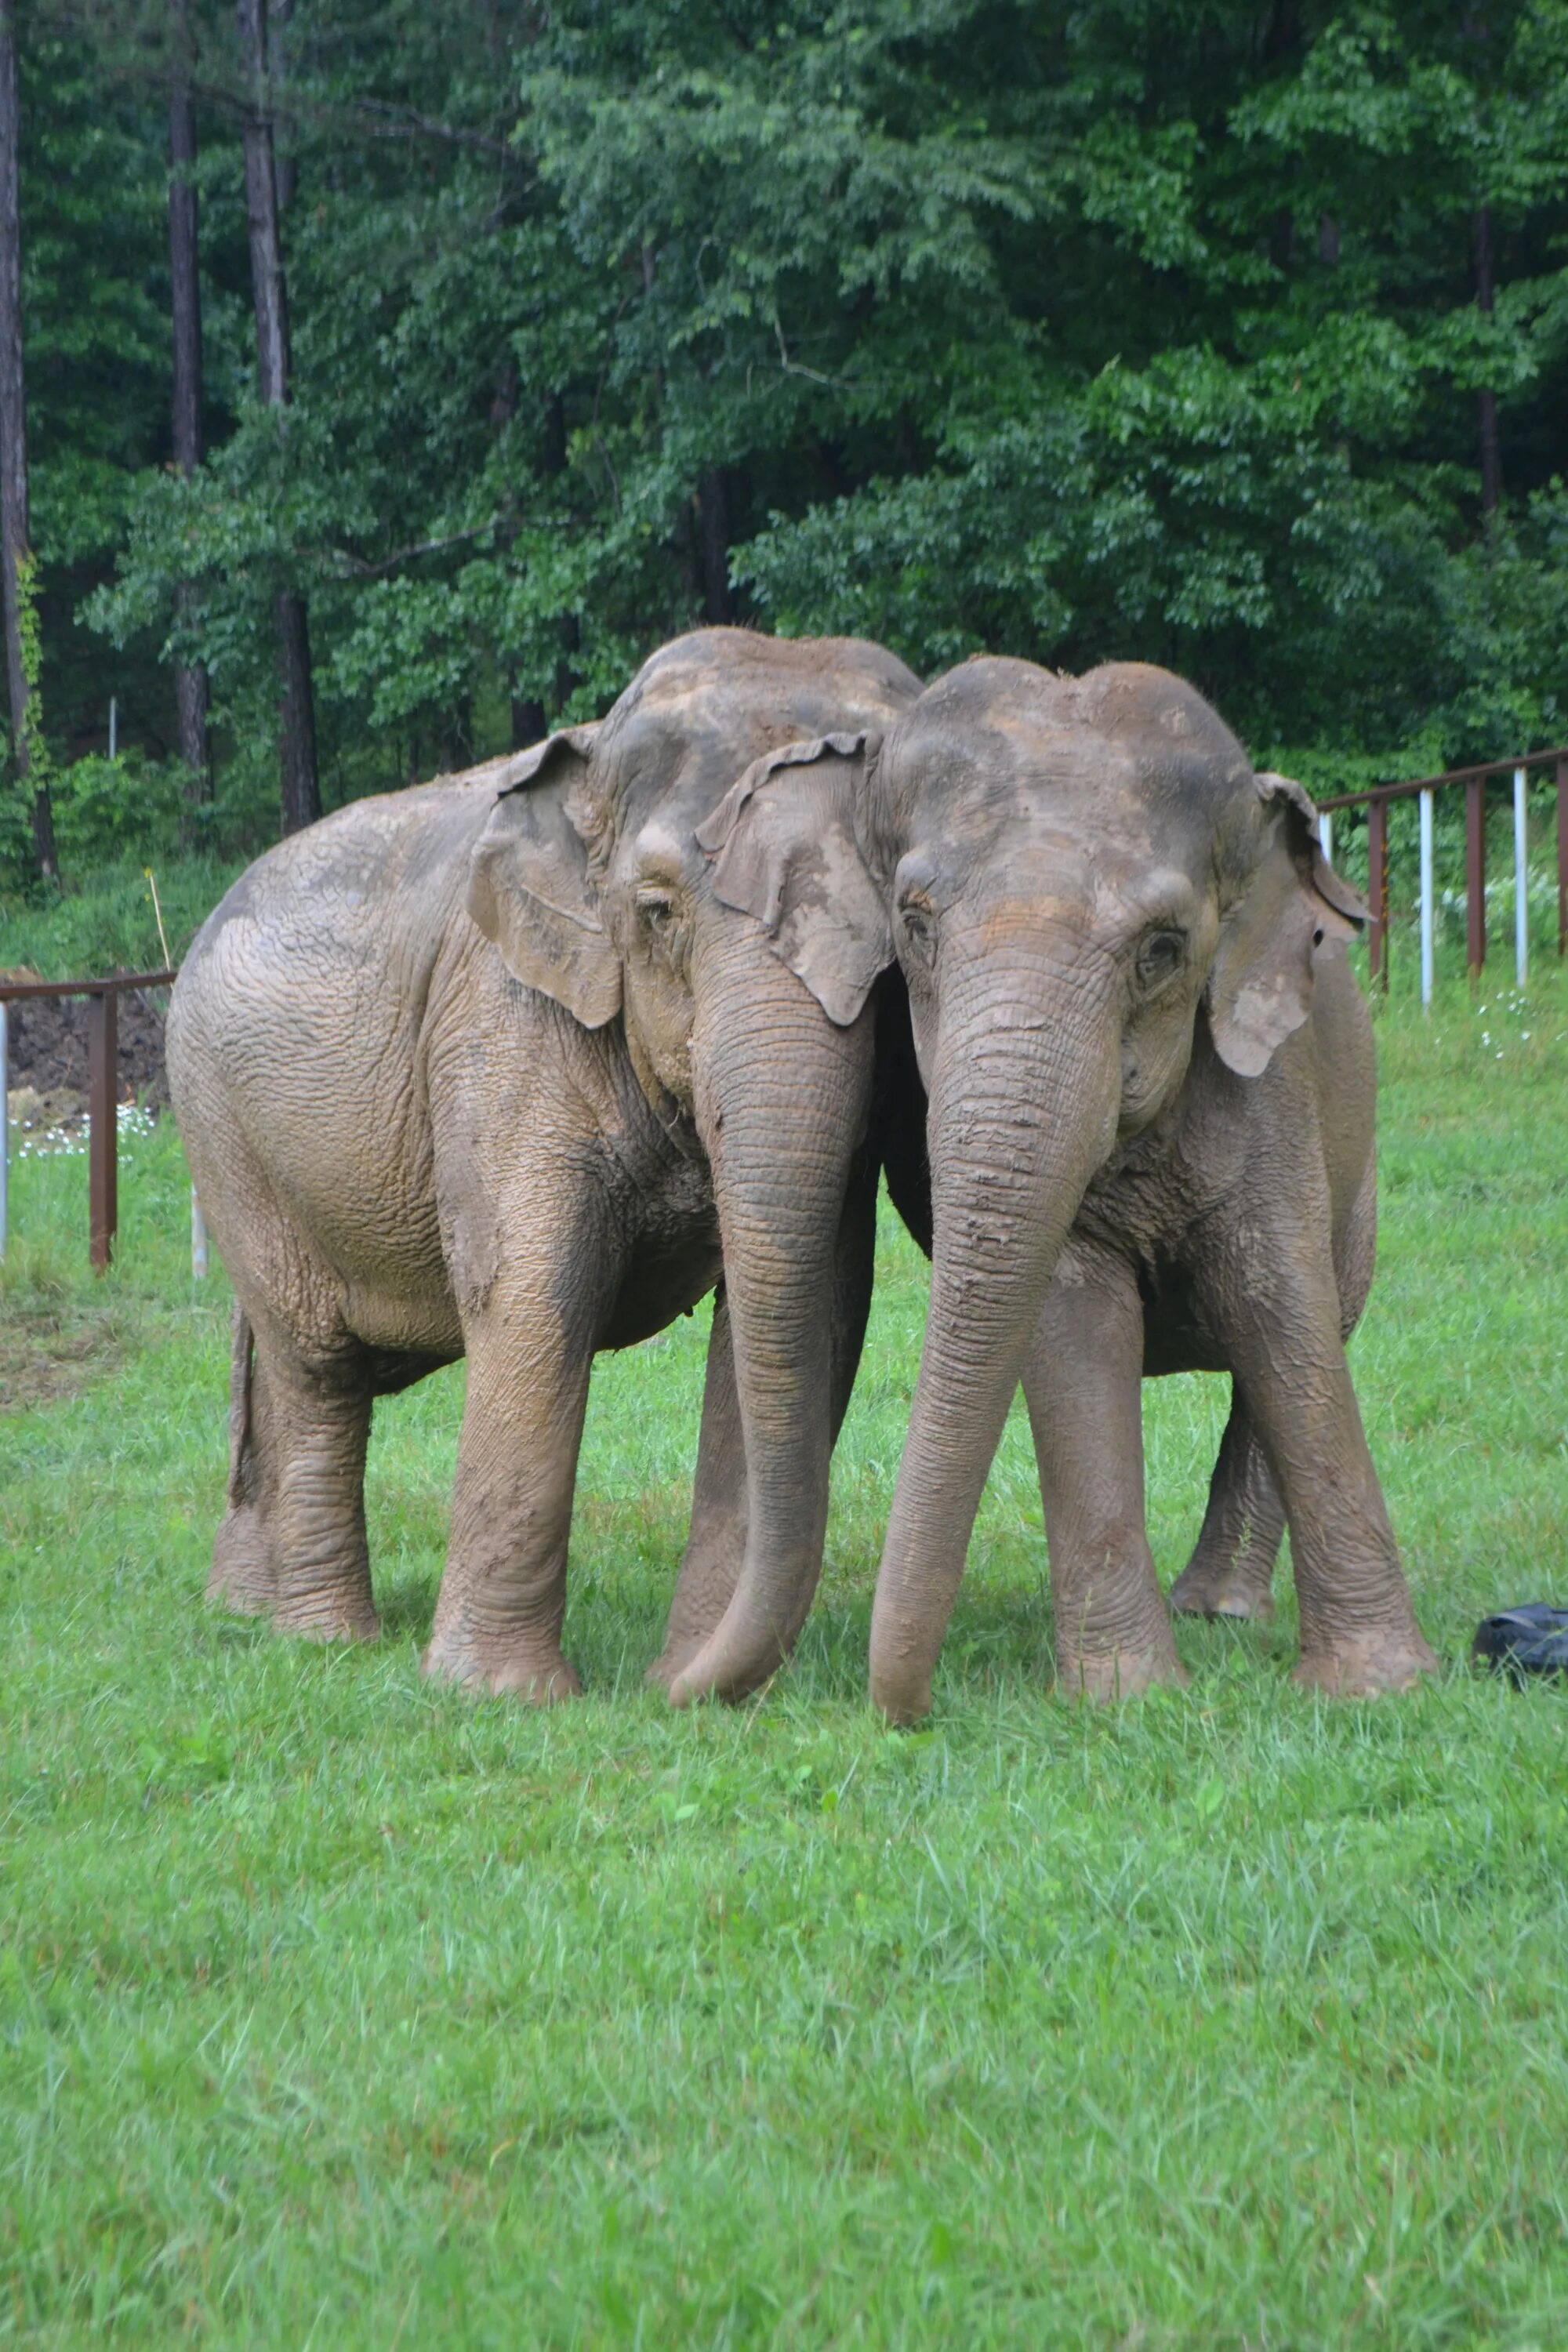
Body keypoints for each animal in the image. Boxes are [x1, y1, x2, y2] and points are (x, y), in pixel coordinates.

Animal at [162, 626, 921, 1703]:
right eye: (656, 912)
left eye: (901, 929)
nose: (657, 1694)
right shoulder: (500, 1021)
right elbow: (532, 1294)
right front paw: (497, 1697)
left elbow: (814, 1304)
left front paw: (687, 1676)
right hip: (221, 1124)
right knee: (316, 1363)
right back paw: (325, 1640)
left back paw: (244, 1611)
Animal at [691, 654, 1439, 1722]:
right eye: (912, 927)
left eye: (1163, 949)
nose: (904, 1712)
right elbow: (1074, 1323)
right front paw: (1128, 1700)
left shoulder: (1270, 1087)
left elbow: (1277, 1305)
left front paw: (1379, 1689)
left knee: (1315, 1318)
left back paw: (1220, 1610)